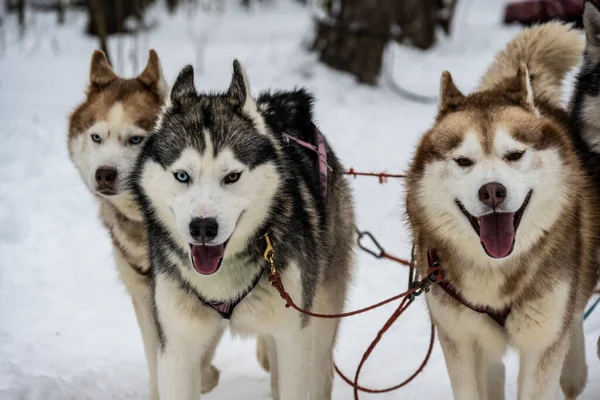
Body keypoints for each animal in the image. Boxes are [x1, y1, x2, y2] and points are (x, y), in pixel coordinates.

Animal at [67, 50, 223, 396]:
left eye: (135, 139)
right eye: (96, 137)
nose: (104, 174)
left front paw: (205, 377)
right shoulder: (146, 301)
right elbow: (158, 361)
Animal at [129, 60, 354, 400]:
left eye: (232, 176)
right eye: (182, 176)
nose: (203, 228)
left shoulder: (293, 339)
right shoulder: (177, 347)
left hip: (320, 318)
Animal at [406, 22, 596, 400]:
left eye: (515, 155)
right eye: (463, 161)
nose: (492, 191)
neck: (495, 272)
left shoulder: (543, 342)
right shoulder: (459, 341)